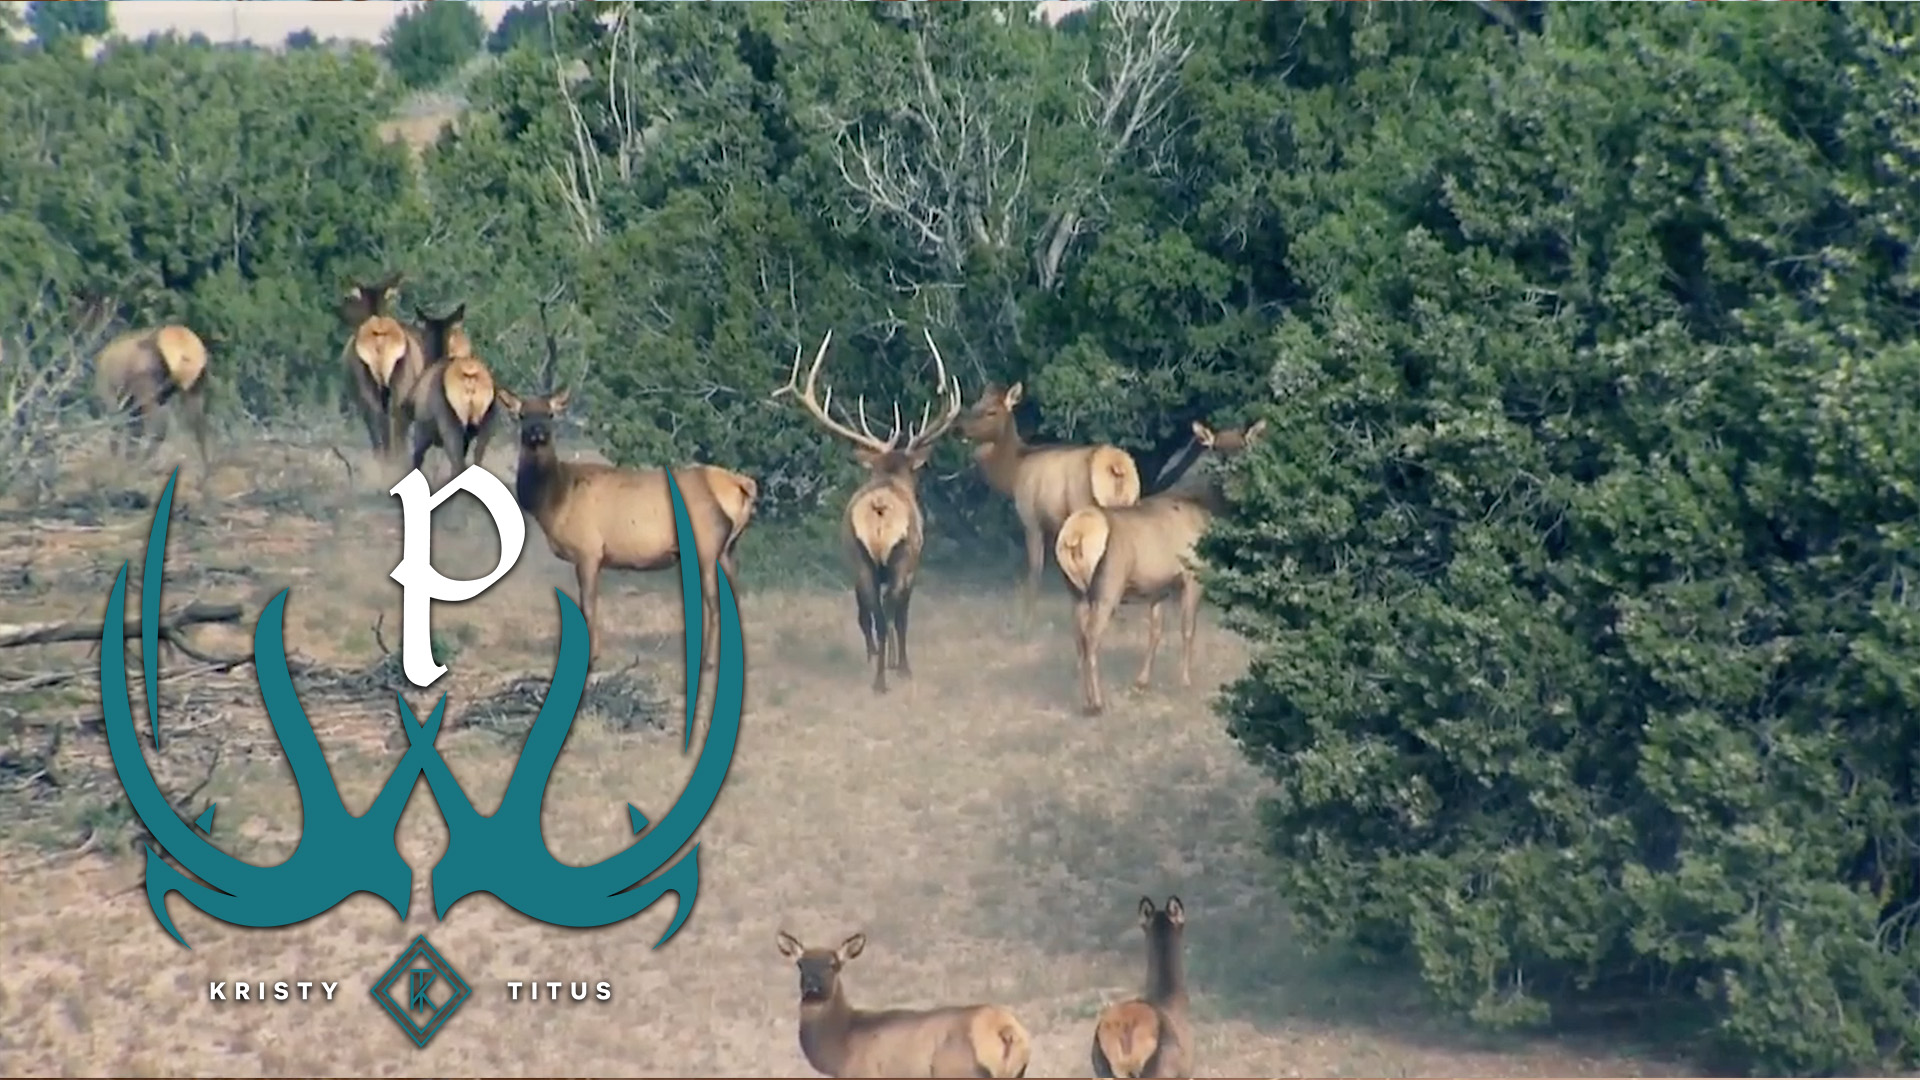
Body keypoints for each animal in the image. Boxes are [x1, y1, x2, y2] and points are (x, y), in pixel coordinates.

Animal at [495, 387, 757, 669]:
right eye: (522, 415)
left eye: (550, 413)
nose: (537, 432)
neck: (554, 497)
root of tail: (742, 485)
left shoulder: (588, 550)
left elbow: (588, 605)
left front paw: (592, 657)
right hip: (728, 550)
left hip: (706, 548)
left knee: (715, 603)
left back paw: (708, 661)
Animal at [771, 328, 962, 694]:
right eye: (915, 472)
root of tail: (879, 511)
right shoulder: (913, 563)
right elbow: (901, 616)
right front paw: (901, 666)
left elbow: (866, 616)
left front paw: (877, 657)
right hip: (901, 557)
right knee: (891, 613)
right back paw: (887, 676)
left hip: (858, 558)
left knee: (870, 612)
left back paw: (876, 668)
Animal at [775, 931, 1032, 1078]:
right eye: (800, 964)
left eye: (834, 965)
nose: (812, 987)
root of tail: (1006, 1030)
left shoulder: (863, 1073)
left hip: (955, 1071)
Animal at [958, 382, 1142, 627]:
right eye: (975, 404)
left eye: (991, 412)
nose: (958, 428)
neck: (1013, 472)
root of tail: (1117, 466)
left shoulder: (1031, 519)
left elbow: (1036, 569)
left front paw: (1027, 618)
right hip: (1131, 503)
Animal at [1054, 419, 1265, 715]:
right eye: (1216, 450)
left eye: (1244, 447)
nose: (1232, 480)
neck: (1208, 511)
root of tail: (1076, 535)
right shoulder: (1192, 573)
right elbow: (1188, 629)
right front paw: (1185, 681)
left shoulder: (1157, 587)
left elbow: (1155, 632)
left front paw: (1142, 681)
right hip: (1108, 584)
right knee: (1091, 638)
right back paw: (1097, 702)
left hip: (1075, 589)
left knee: (1078, 637)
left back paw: (1082, 698)